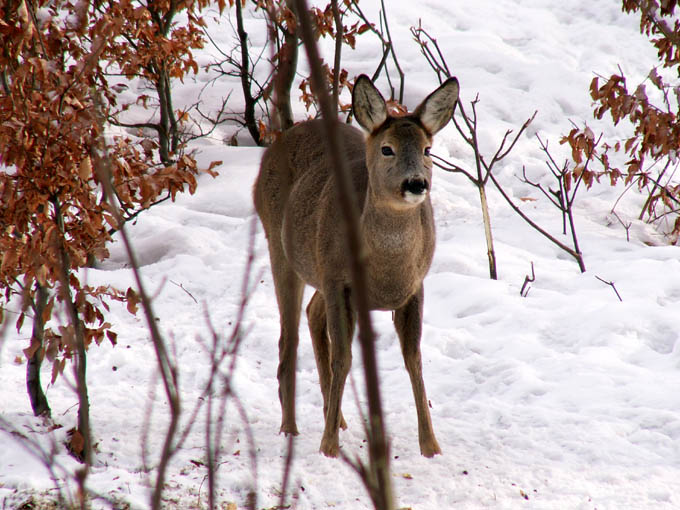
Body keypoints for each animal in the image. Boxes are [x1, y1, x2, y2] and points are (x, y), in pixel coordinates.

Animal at [252, 72, 460, 458]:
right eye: (387, 148)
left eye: (427, 150)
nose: (416, 183)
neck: (386, 272)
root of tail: (284, 135)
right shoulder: (338, 282)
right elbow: (344, 358)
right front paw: (328, 447)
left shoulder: (414, 287)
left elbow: (413, 358)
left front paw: (431, 446)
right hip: (280, 247)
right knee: (289, 336)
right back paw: (290, 427)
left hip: (317, 269)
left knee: (311, 313)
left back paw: (338, 418)